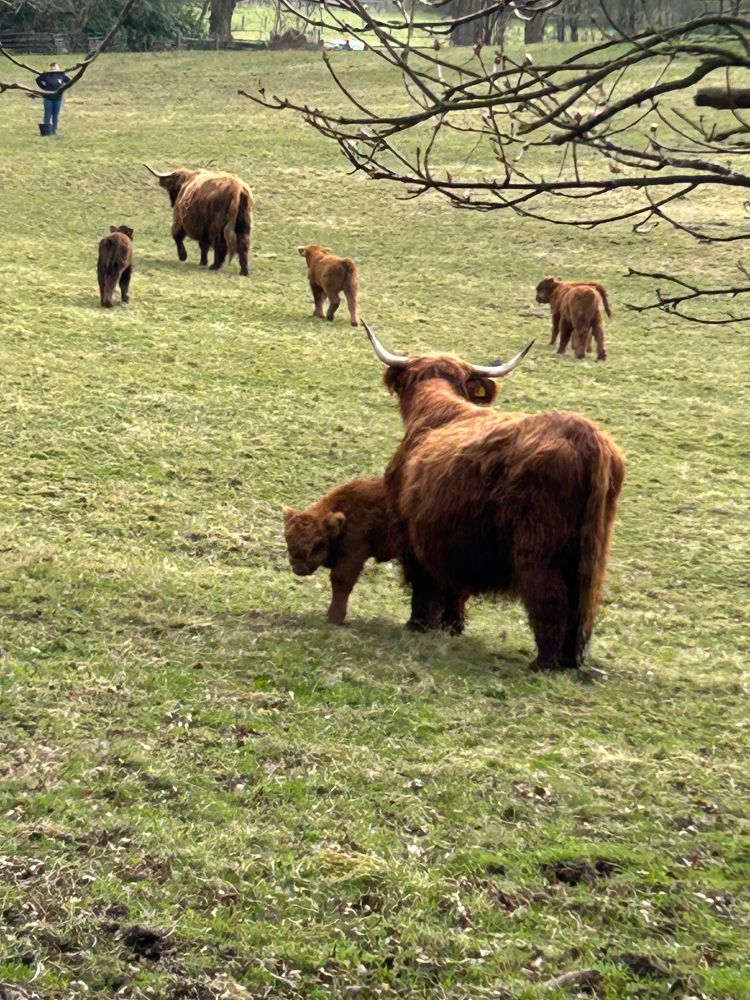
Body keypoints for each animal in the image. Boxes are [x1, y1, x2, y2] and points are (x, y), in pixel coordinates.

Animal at [283, 476, 396, 624]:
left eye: (318, 543)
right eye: (287, 537)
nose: (299, 568)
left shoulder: (354, 553)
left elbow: (341, 580)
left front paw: (334, 618)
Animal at [363, 323, 625, 671]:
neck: (435, 415)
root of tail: (586, 437)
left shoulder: (412, 533)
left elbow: (423, 584)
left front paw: (417, 624)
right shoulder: (455, 539)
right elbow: (455, 589)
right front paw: (452, 627)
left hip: (538, 548)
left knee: (551, 598)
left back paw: (542, 663)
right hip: (592, 552)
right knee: (583, 604)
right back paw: (569, 660)